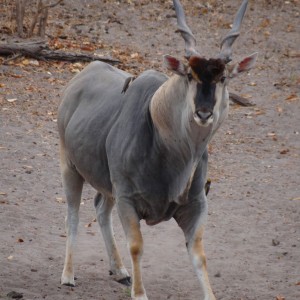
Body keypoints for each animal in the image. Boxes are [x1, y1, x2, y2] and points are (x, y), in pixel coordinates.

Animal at [58, 0, 258, 298]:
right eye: (190, 75)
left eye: (223, 78)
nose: (204, 112)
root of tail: (80, 78)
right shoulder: (127, 199)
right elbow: (136, 246)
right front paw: (139, 292)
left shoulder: (196, 205)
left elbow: (199, 256)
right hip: (70, 167)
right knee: (73, 215)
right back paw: (68, 275)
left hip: (108, 185)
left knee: (100, 208)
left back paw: (119, 271)